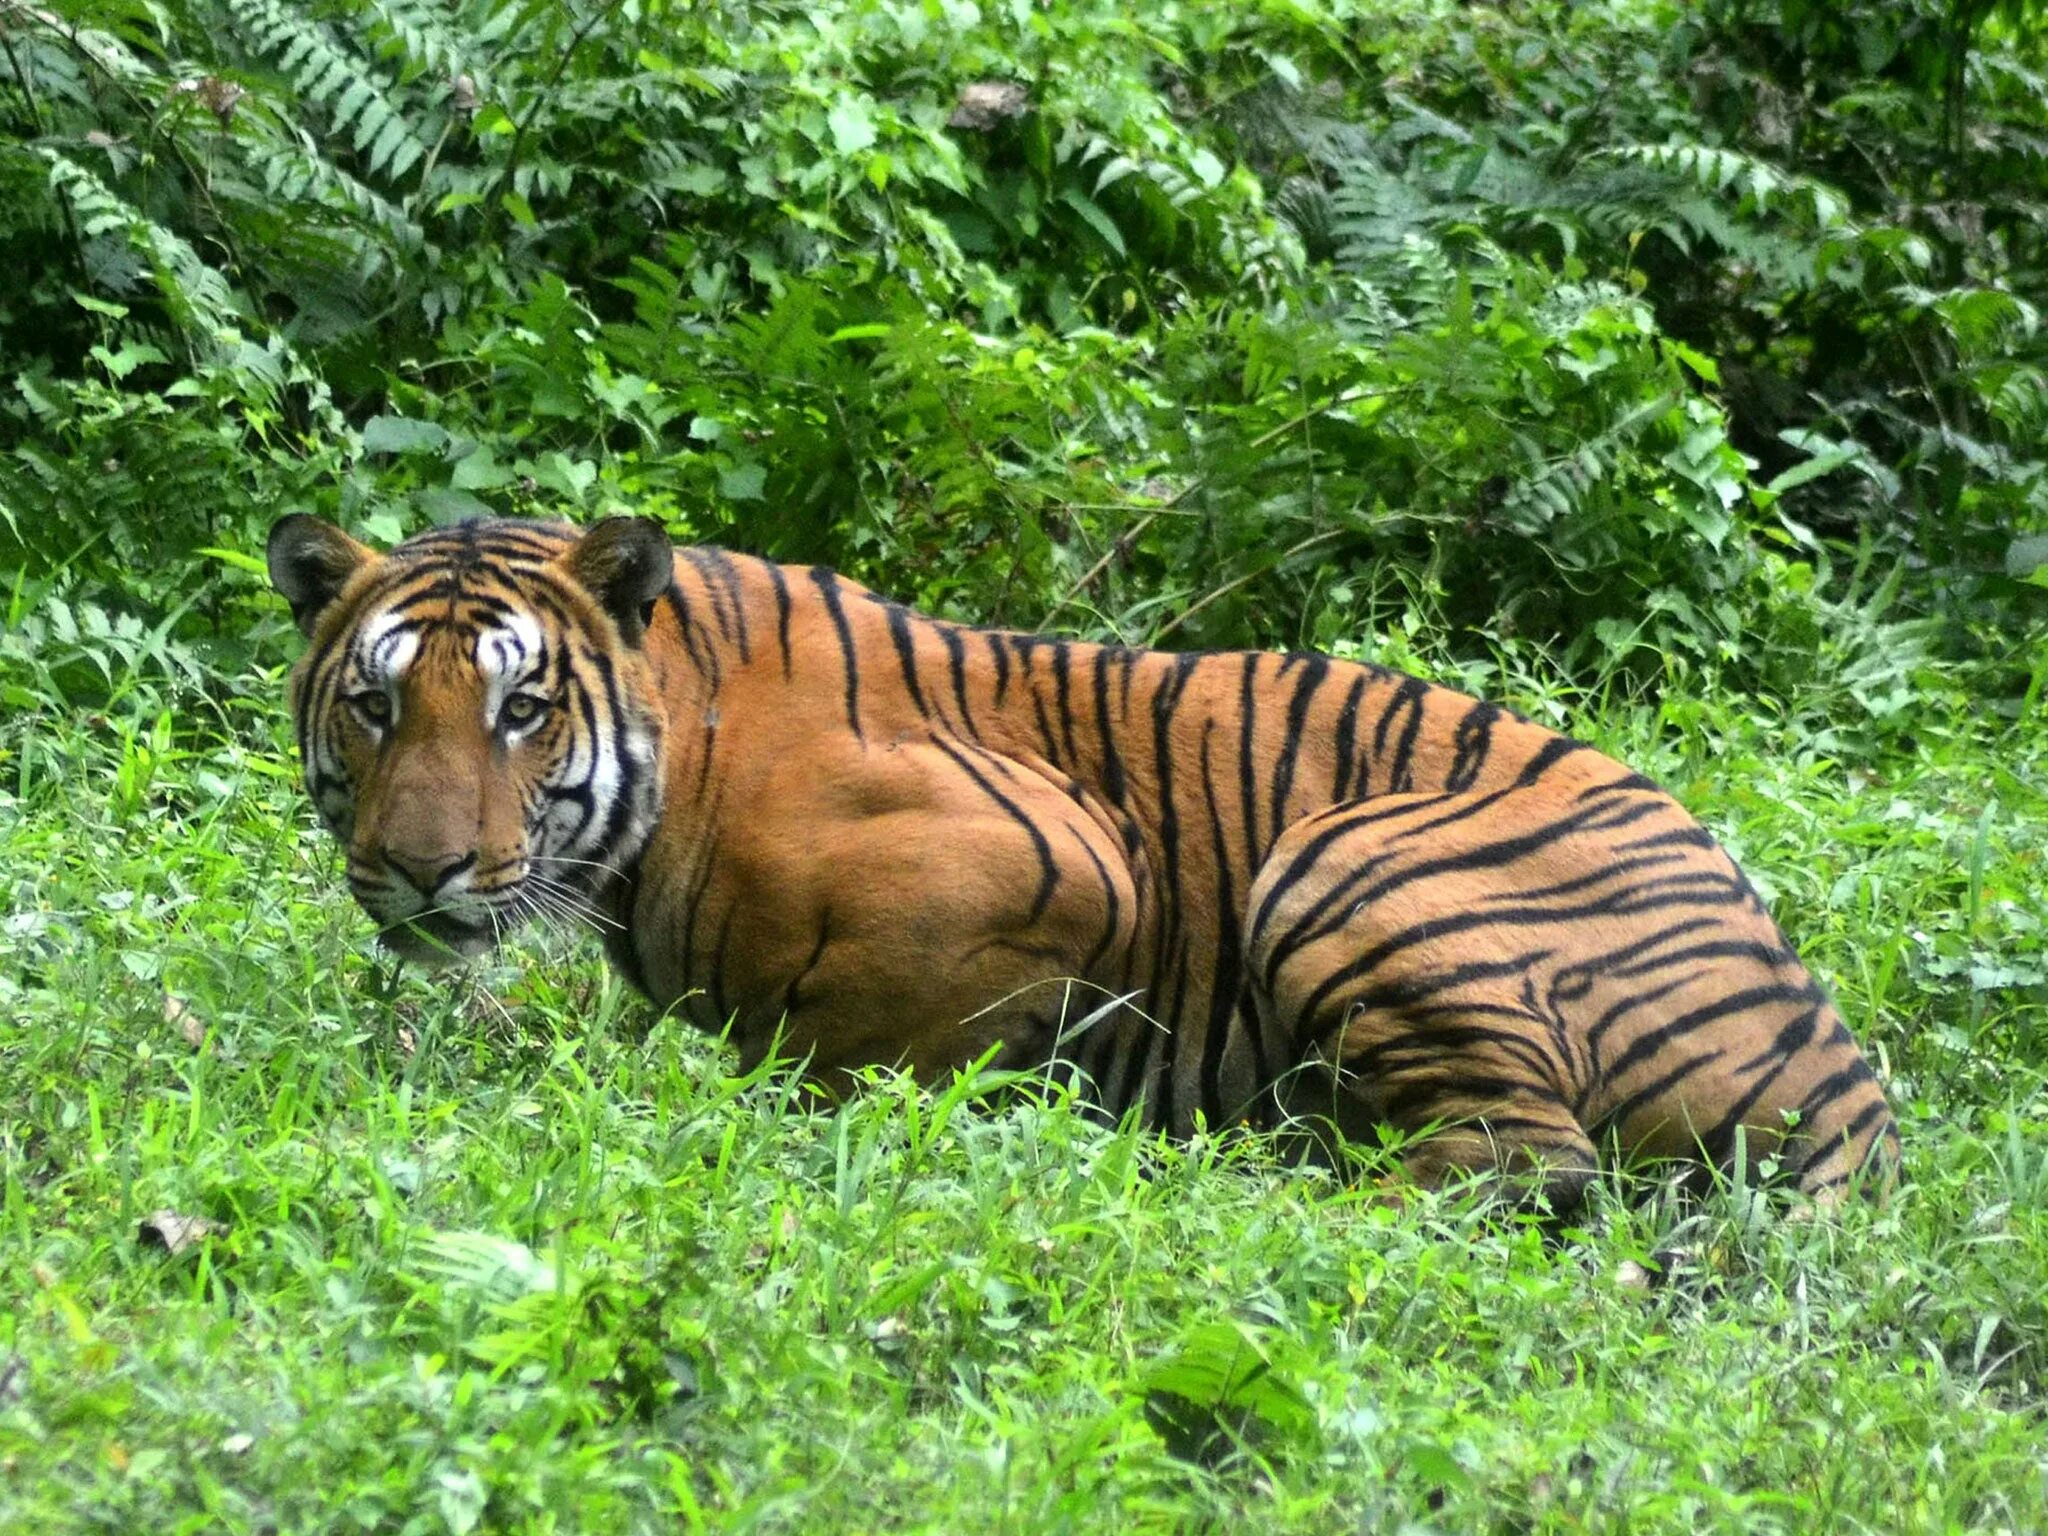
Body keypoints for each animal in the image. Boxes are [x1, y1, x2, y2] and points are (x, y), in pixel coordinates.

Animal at [264, 518, 1892, 1212]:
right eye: (377, 704)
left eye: (522, 710)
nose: (419, 870)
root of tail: (1845, 1071)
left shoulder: (1060, 861)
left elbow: (854, 1051)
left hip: (1345, 856)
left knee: (1518, 1164)